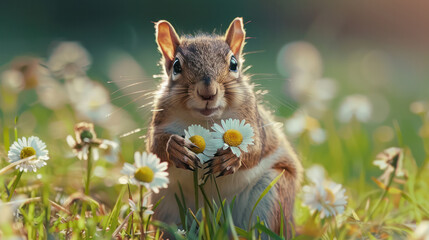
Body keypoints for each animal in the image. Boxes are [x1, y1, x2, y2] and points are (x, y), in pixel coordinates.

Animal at [145, 17, 302, 238]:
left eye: (234, 64)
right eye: (176, 66)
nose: (207, 92)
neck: (206, 120)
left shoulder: (253, 121)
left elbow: (255, 149)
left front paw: (231, 158)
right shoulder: (160, 119)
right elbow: (155, 146)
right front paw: (175, 148)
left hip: (272, 195)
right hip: (165, 205)